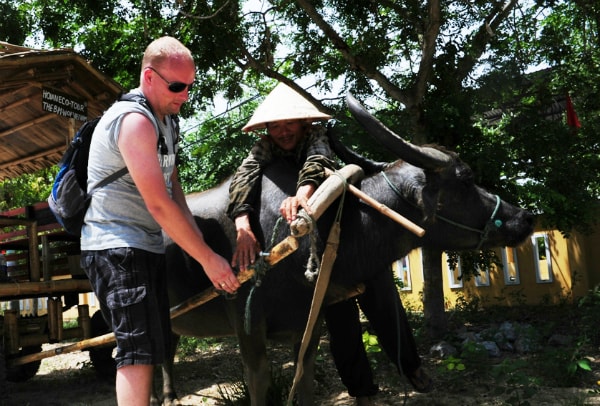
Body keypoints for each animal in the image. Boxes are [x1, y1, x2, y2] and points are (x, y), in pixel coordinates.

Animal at [157, 93, 532, 404]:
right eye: (466, 178)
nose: (525, 218)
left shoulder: (309, 324)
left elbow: (303, 379)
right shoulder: (248, 330)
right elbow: (259, 384)